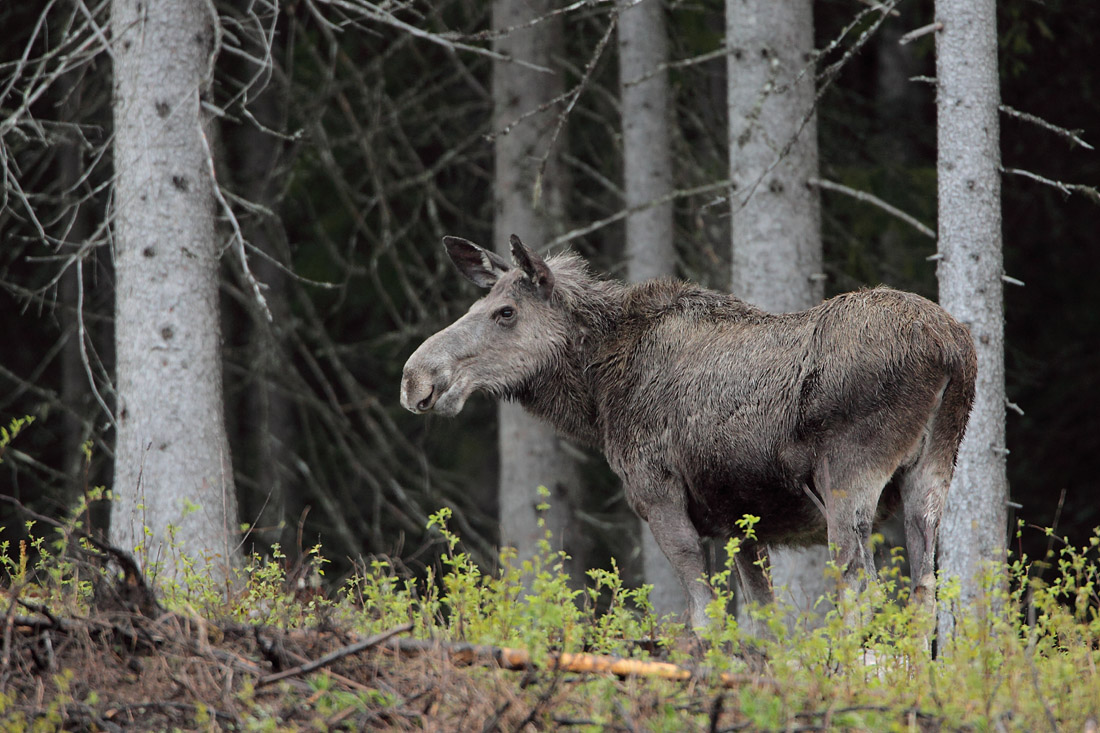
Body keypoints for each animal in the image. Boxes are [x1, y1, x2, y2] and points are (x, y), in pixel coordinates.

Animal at [400, 234, 976, 629]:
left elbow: (705, 621)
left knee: (863, 594)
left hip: (850, 478)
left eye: (505, 312)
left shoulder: (660, 497)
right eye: (477, 306)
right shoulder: (742, 524)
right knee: (924, 594)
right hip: (931, 475)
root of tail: (952, 349)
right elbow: (763, 627)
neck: (597, 398)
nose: (416, 377)